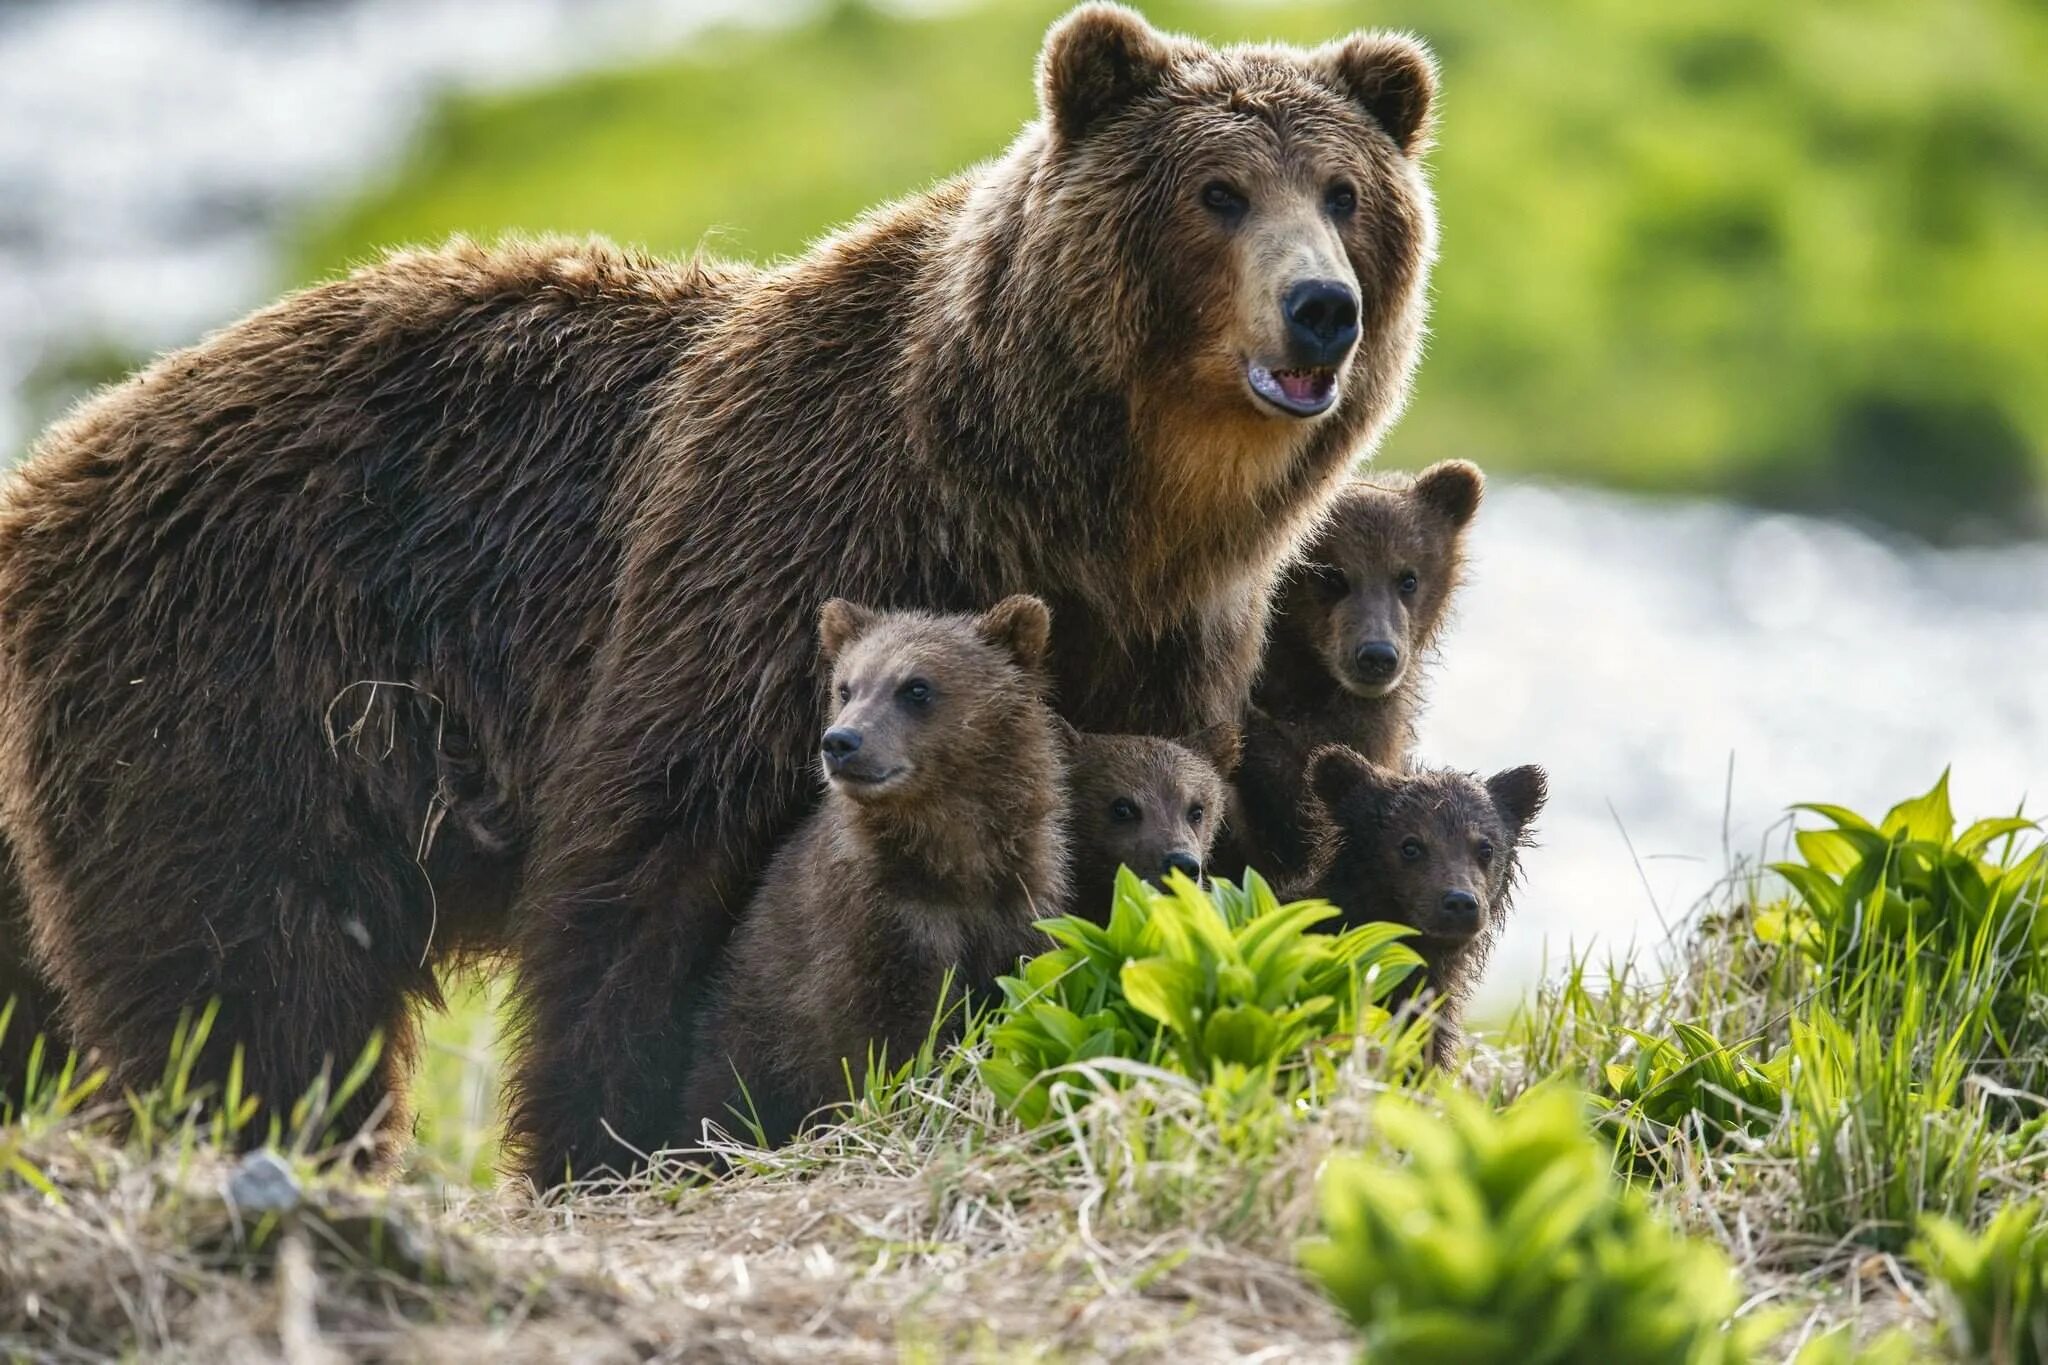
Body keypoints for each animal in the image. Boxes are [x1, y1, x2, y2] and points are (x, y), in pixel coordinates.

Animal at [688, 601, 1073, 1154]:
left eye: (917, 687)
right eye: (846, 687)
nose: (841, 742)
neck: (952, 863)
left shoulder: (1017, 906)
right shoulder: (876, 921)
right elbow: (879, 1041)